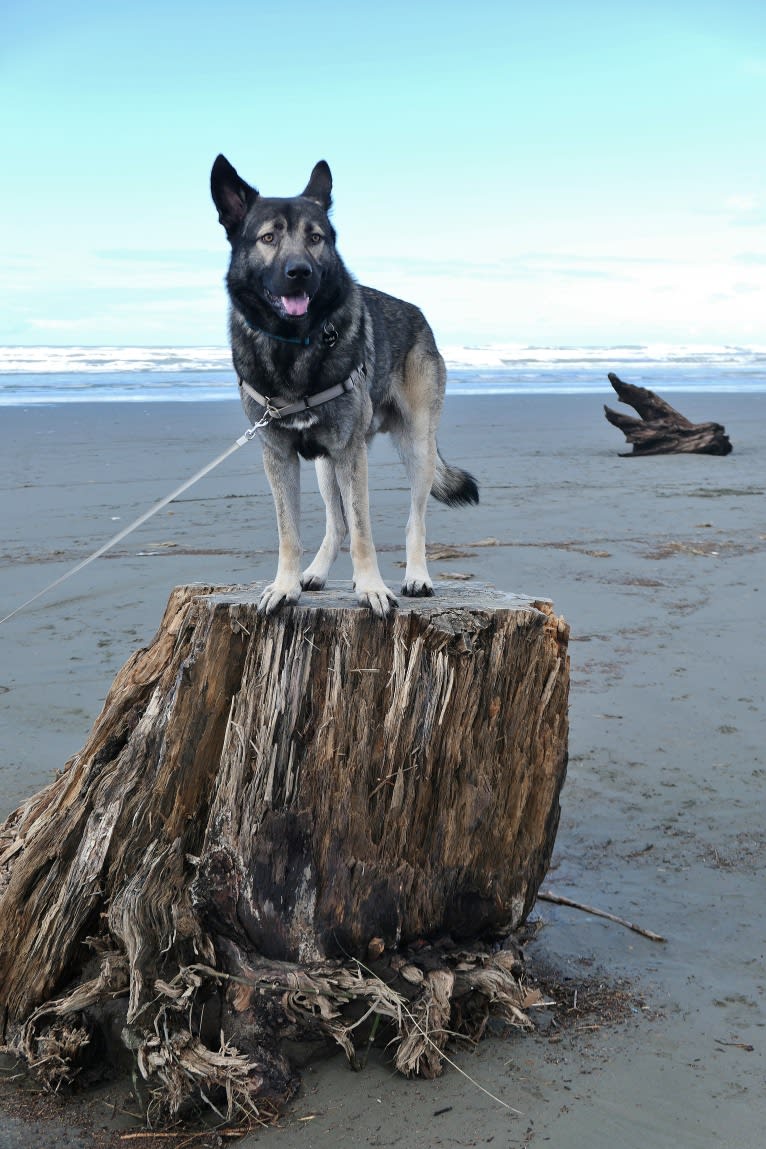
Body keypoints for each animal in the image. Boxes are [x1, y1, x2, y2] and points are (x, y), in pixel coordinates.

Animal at [210, 159, 480, 620]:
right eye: (268, 238)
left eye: (315, 238)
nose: (299, 272)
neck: (294, 344)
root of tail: (418, 314)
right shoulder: (280, 454)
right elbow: (290, 532)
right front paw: (285, 586)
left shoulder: (349, 454)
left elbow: (364, 530)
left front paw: (371, 588)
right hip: (326, 465)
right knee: (337, 523)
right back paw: (316, 573)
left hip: (416, 447)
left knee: (414, 519)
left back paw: (417, 576)